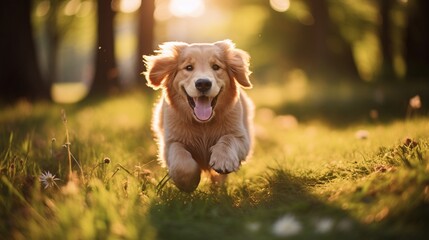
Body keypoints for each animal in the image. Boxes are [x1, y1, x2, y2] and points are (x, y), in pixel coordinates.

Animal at [144, 40, 252, 192]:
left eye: (216, 67)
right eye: (189, 67)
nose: (203, 83)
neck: (203, 124)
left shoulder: (242, 137)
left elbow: (228, 138)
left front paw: (223, 160)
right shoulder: (169, 143)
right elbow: (181, 159)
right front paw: (188, 183)